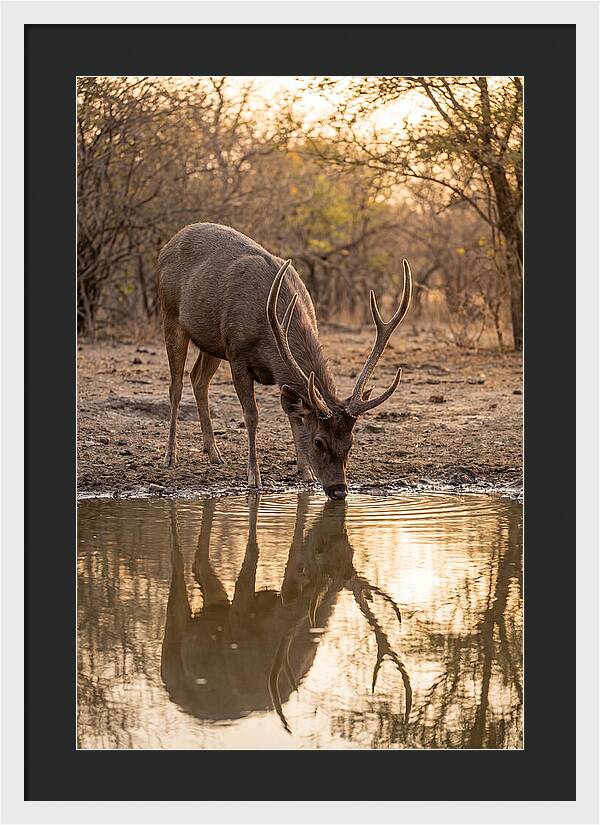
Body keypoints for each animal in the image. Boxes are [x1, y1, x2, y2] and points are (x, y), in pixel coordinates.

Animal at [157, 223, 412, 500]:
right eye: (319, 441)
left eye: (351, 442)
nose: (339, 490)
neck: (268, 334)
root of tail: (168, 244)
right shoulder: (237, 354)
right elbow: (252, 415)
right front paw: (254, 477)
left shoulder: (272, 369)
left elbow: (294, 415)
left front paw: (306, 473)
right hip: (171, 314)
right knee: (176, 386)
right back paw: (170, 457)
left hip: (211, 341)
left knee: (198, 379)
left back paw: (214, 454)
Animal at [161, 494, 412, 734]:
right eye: (321, 548)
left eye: (351, 550)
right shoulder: (236, 624)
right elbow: (255, 553)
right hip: (173, 648)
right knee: (178, 573)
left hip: (215, 606)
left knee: (200, 566)